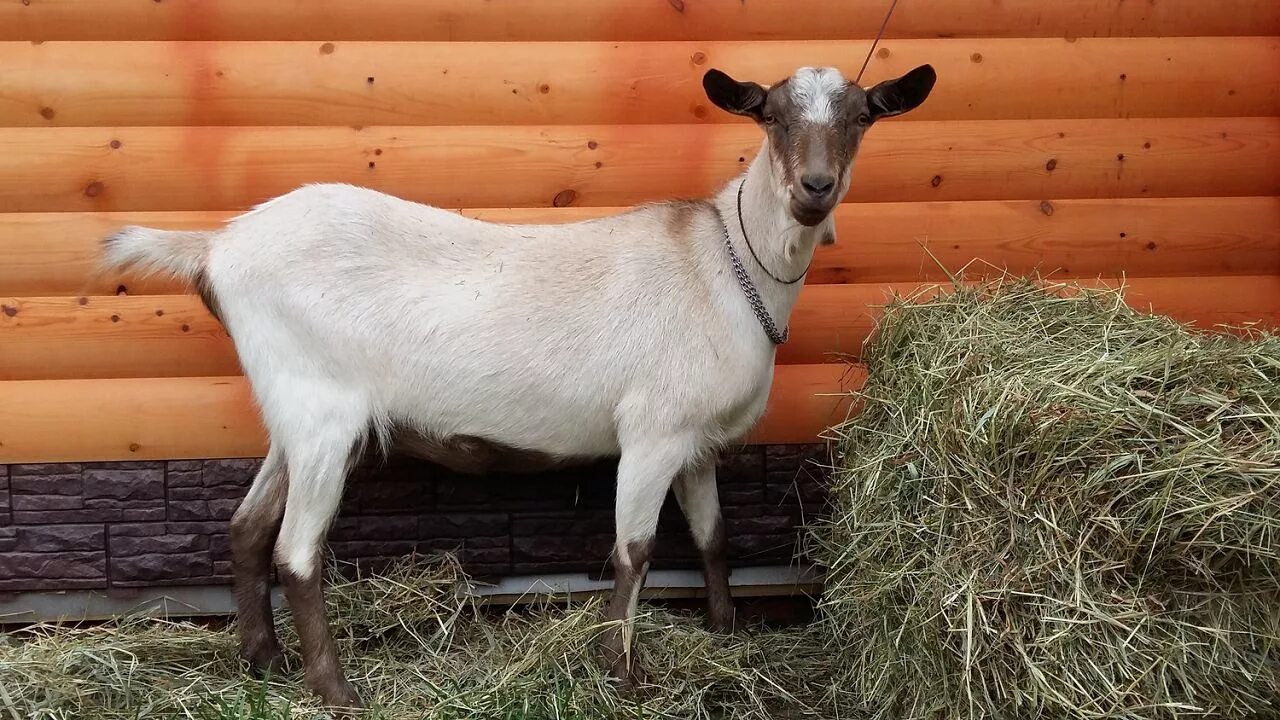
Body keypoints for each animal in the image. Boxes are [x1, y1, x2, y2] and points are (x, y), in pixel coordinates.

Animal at [99, 63, 936, 707]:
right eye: (773, 116)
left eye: (861, 117)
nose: (815, 189)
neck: (725, 265)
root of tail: (216, 248)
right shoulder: (652, 432)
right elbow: (634, 549)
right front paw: (622, 671)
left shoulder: (695, 442)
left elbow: (712, 535)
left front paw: (726, 628)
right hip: (323, 413)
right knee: (296, 552)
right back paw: (336, 690)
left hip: (294, 413)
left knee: (245, 527)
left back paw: (263, 661)